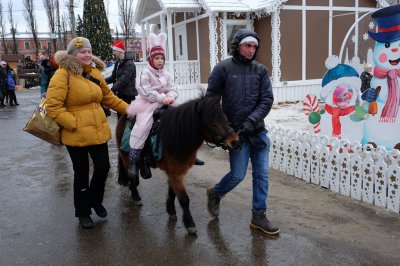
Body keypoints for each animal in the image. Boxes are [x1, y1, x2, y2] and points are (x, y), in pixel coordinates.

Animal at [115, 95, 241, 235]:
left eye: (225, 118)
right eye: (212, 123)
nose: (235, 142)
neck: (176, 138)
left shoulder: (175, 173)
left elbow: (172, 193)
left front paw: (171, 211)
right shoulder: (176, 174)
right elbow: (184, 199)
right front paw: (190, 224)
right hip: (126, 157)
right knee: (131, 175)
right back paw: (136, 196)